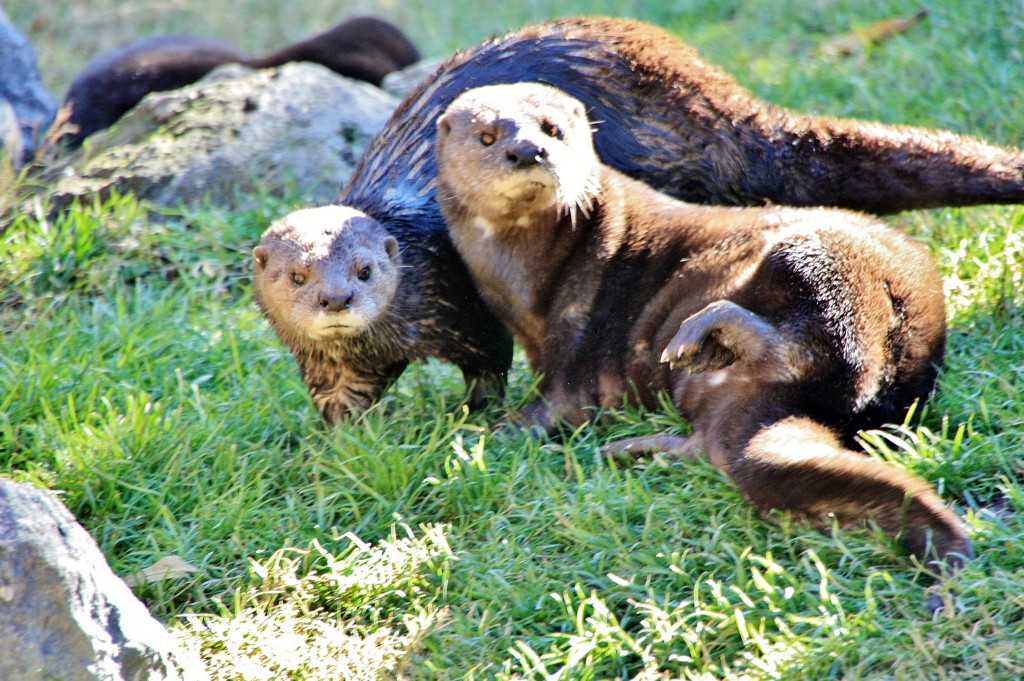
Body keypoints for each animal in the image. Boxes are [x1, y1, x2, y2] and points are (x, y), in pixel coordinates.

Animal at [251, 202, 512, 426]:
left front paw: (477, 414)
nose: (336, 299)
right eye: (297, 276)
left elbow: (491, 365)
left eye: (364, 271)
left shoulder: (474, 318)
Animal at [436, 80, 970, 606]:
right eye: (487, 136)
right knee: (713, 447)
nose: (528, 150)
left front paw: (477, 435)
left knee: (840, 362)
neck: (527, 289)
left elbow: (556, 406)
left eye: (553, 129)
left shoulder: (574, 334)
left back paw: (710, 331)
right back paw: (632, 448)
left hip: (824, 258)